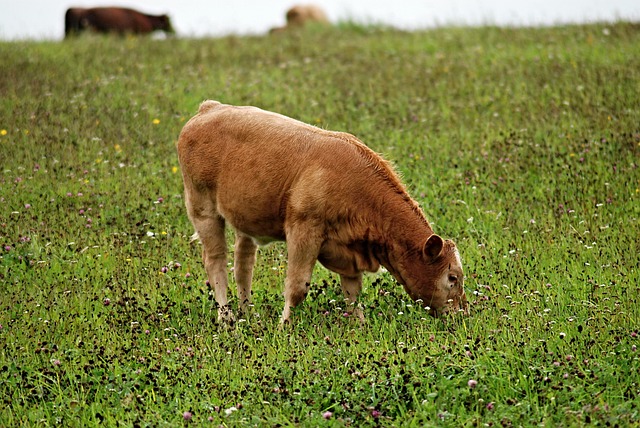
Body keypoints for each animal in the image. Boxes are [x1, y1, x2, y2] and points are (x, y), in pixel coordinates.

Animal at [178, 101, 468, 324]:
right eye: (452, 277)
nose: (463, 313)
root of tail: (210, 108)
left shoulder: (350, 247)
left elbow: (352, 291)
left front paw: (358, 324)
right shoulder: (304, 231)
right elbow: (297, 287)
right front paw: (284, 327)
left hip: (244, 218)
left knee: (243, 265)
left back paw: (247, 313)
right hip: (202, 209)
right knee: (216, 262)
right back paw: (226, 319)